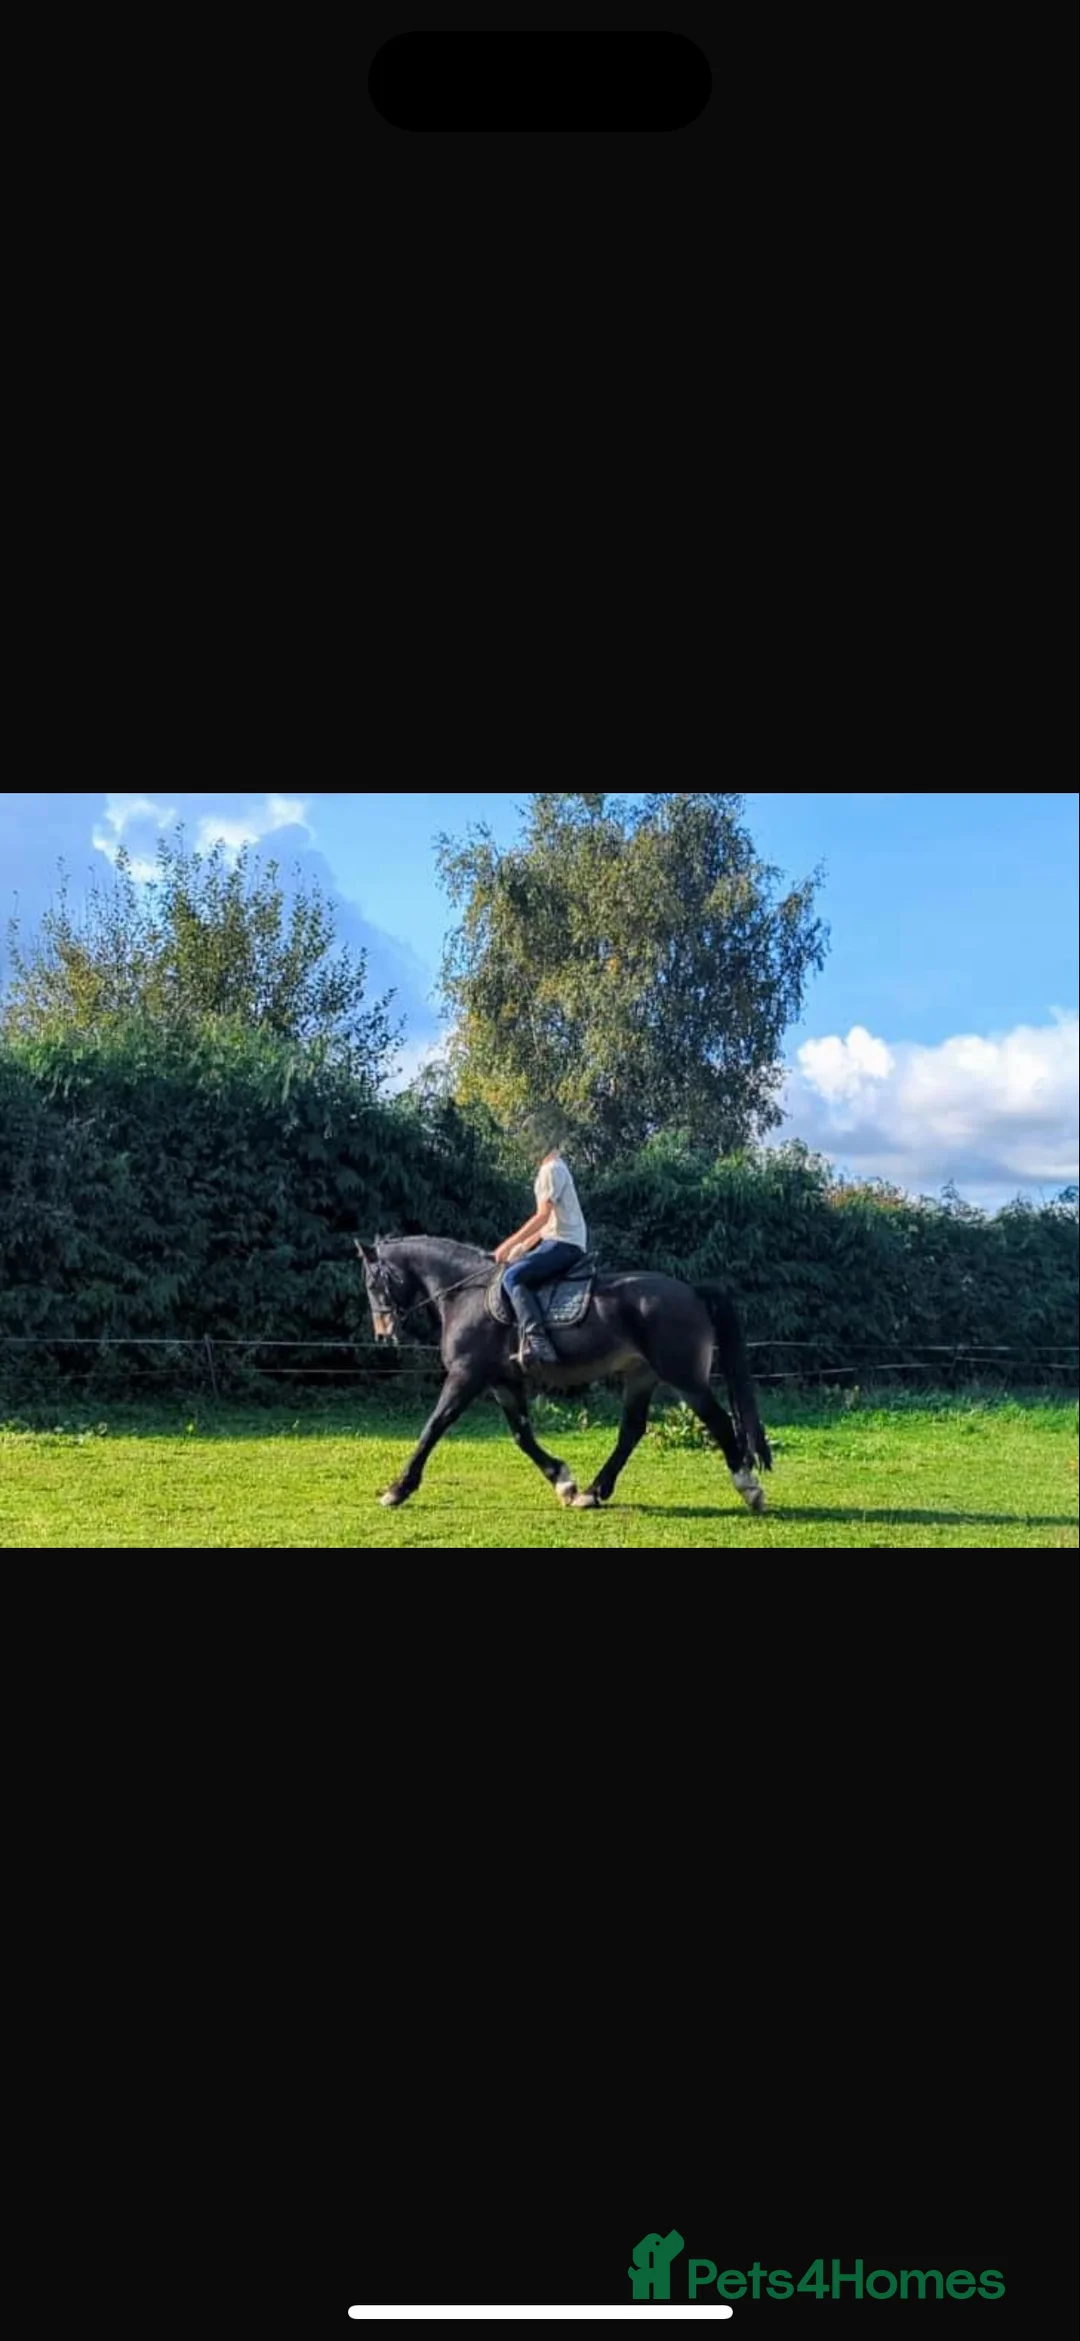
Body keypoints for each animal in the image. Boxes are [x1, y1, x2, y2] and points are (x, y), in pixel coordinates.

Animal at [357, 1234, 772, 1515]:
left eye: (373, 1283)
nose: (383, 1333)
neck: (466, 1294)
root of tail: (691, 1291)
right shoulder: (503, 1382)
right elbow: (522, 1436)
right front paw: (563, 1482)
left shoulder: (466, 1375)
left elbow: (433, 1427)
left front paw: (397, 1489)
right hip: (642, 1375)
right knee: (631, 1431)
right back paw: (592, 1492)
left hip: (684, 1378)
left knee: (718, 1421)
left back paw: (749, 1488)